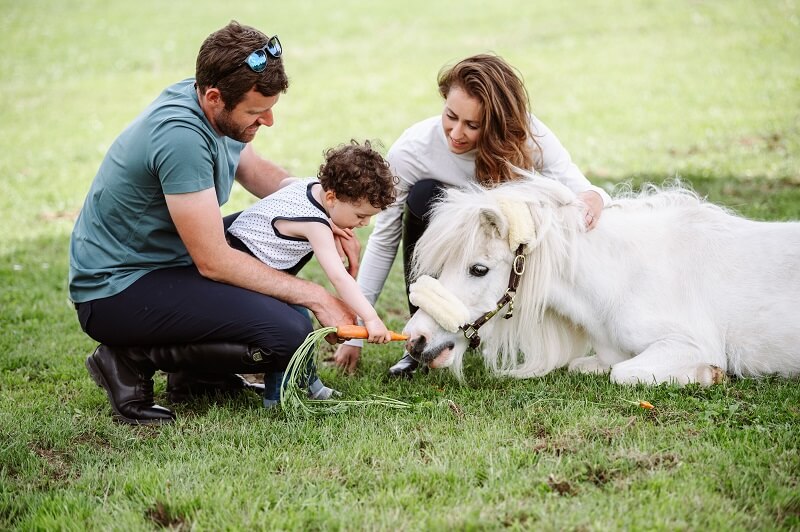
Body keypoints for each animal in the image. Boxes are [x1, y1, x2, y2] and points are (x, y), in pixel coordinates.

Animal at [404, 176, 800, 386]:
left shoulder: (689, 344)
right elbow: (588, 365)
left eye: (478, 269)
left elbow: (623, 373)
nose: (415, 339)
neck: (624, 278)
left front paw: (710, 375)